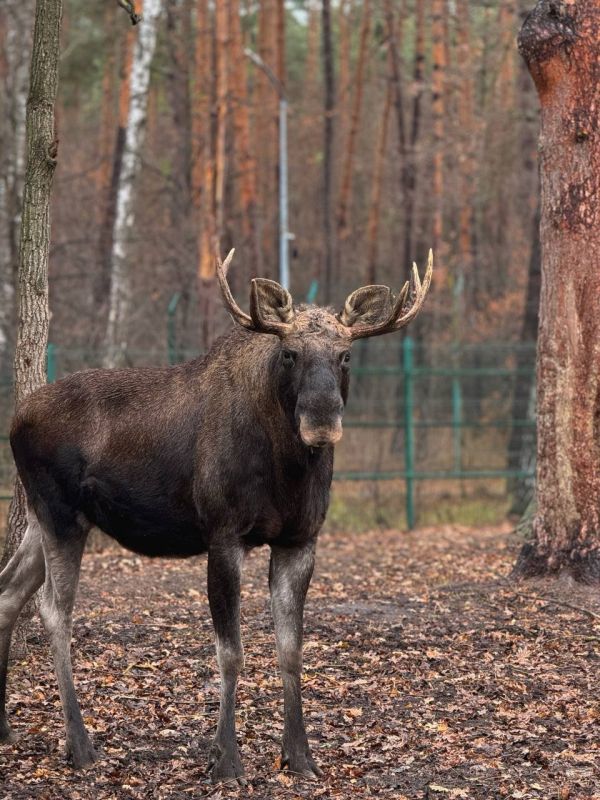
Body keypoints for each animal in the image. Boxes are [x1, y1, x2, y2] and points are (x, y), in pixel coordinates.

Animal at [0, 252, 432, 780]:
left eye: (345, 355)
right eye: (289, 354)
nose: (322, 420)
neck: (287, 470)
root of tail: (15, 419)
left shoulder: (300, 539)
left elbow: (291, 650)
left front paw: (299, 755)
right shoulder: (224, 533)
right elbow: (231, 653)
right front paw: (225, 757)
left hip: (39, 519)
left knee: (8, 592)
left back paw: (6, 728)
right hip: (62, 514)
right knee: (53, 610)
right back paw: (80, 746)